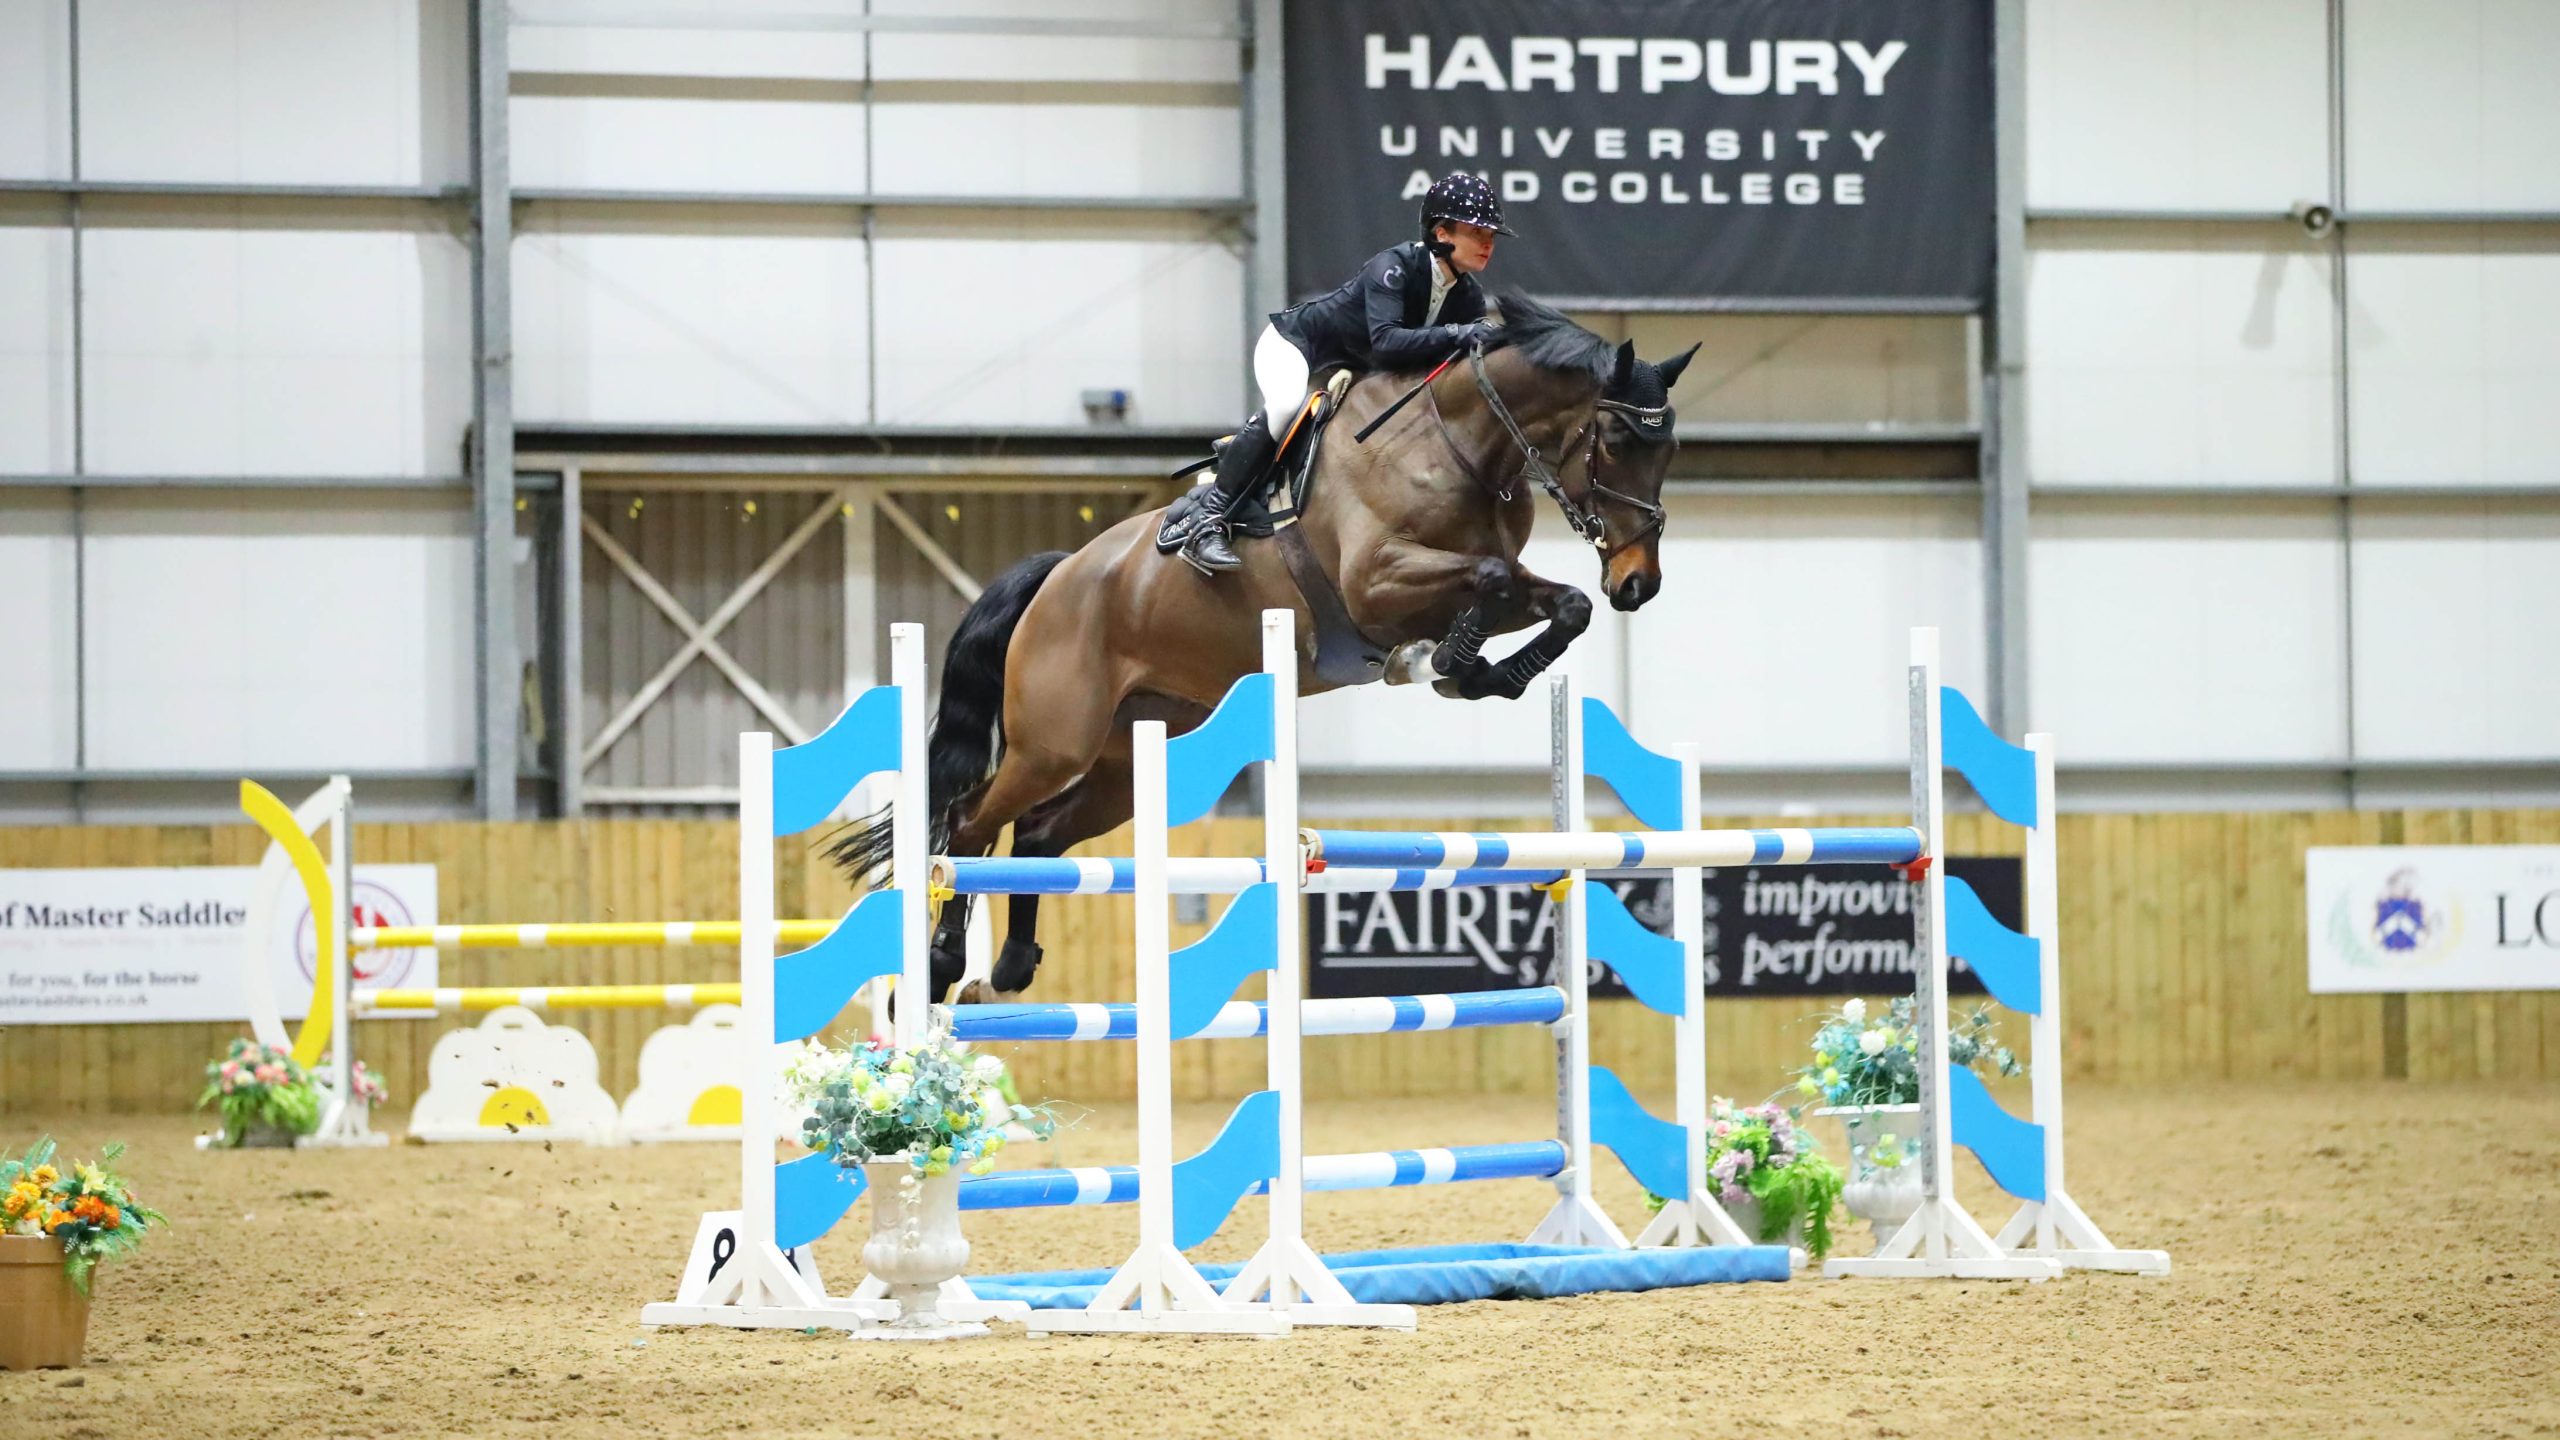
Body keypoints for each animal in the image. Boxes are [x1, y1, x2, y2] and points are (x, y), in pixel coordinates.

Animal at [829, 294, 1697, 1004]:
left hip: (1130, 754)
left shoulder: (1501, 581)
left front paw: (1487, 672)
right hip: (1053, 741)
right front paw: (1451, 663)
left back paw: (1009, 967)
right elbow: (1483, 581)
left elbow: (1561, 603)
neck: (1455, 443)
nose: (1639, 583)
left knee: (1040, 834)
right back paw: (941, 968)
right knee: (970, 824)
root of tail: (1058, 576)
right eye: (1617, 437)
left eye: (1669, 450)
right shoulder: (1375, 584)